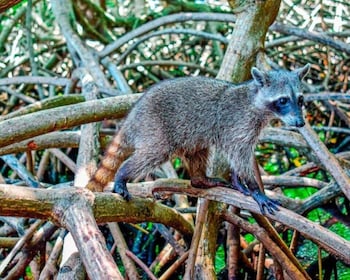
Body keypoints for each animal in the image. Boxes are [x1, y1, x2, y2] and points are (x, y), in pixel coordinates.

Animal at [87, 65, 308, 214]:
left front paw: (238, 180)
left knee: (198, 151)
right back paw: (123, 174)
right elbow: (239, 154)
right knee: (152, 155)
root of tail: (133, 115)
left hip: (188, 134)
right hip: (155, 128)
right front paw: (255, 188)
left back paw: (200, 179)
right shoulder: (239, 124)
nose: (300, 122)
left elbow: (237, 156)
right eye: (283, 100)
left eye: (300, 99)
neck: (256, 101)